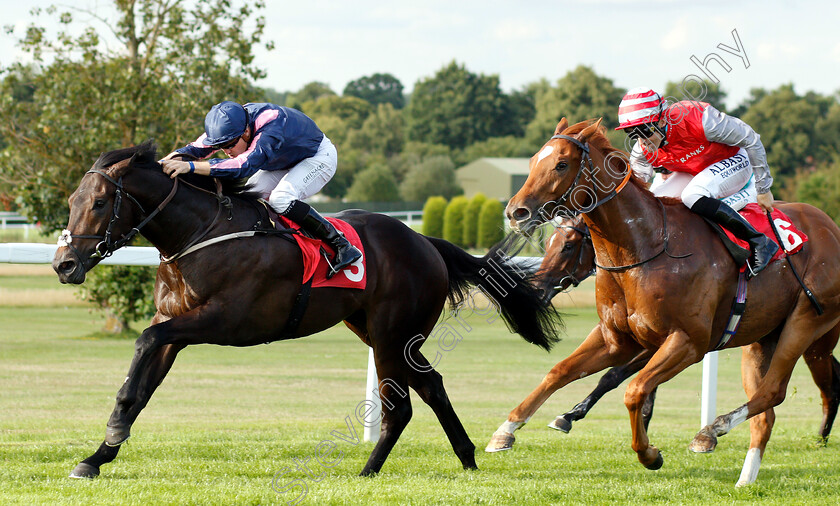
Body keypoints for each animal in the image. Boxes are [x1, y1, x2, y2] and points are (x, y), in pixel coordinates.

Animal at [55, 141, 560, 478]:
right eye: (72, 201)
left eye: (99, 202)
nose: (64, 264)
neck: (202, 233)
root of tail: (424, 241)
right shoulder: (173, 324)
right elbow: (139, 386)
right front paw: (98, 455)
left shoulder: (223, 321)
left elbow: (144, 341)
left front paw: (111, 434)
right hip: (385, 334)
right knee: (432, 385)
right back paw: (467, 457)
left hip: (392, 334)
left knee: (399, 407)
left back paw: (368, 471)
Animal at [540, 216, 840, 438]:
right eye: (548, 242)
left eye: (568, 246)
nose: (539, 286)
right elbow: (618, 377)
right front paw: (572, 414)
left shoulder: (673, 338)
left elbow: (615, 375)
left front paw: (576, 413)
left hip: (808, 333)